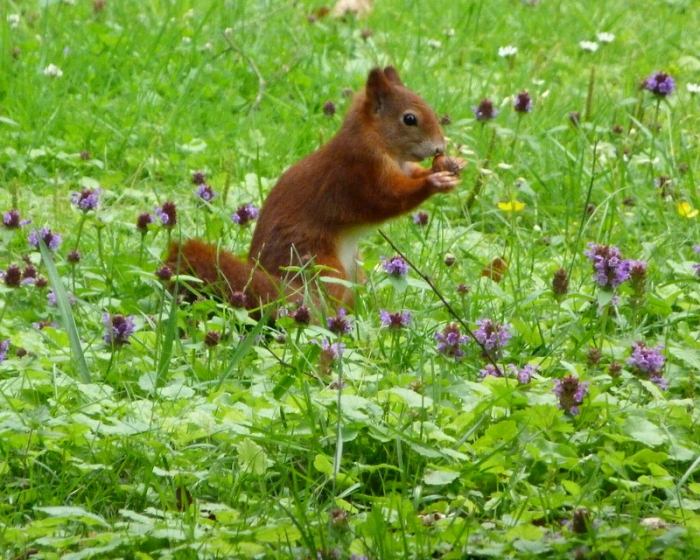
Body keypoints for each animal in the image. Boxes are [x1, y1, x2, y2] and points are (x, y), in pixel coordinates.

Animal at [165, 66, 464, 311]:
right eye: (409, 119)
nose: (440, 148)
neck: (376, 140)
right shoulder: (361, 170)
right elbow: (388, 199)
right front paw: (433, 182)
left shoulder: (401, 167)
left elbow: (412, 173)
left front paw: (448, 166)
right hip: (320, 264)